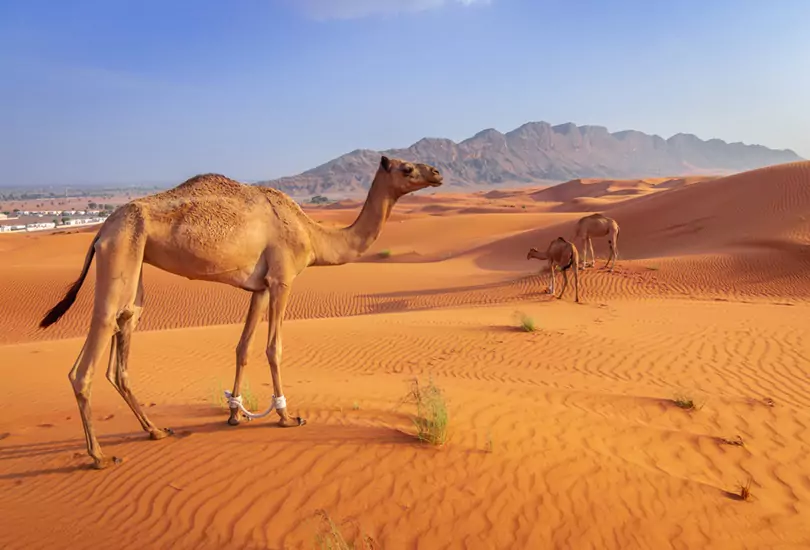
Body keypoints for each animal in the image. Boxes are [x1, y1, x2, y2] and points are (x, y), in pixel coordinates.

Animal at [38, 156, 442, 474]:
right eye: (407, 167)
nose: (437, 172)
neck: (313, 236)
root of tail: (101, 230)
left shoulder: (260, 288)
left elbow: (243, 347)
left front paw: (234, 414)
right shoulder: (282, 279)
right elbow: (274, 349)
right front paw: (286, 416)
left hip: (134, 264)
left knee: (124, 334)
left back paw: (155, 430)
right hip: (120, 252)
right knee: (89, 355)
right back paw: (99, 456)